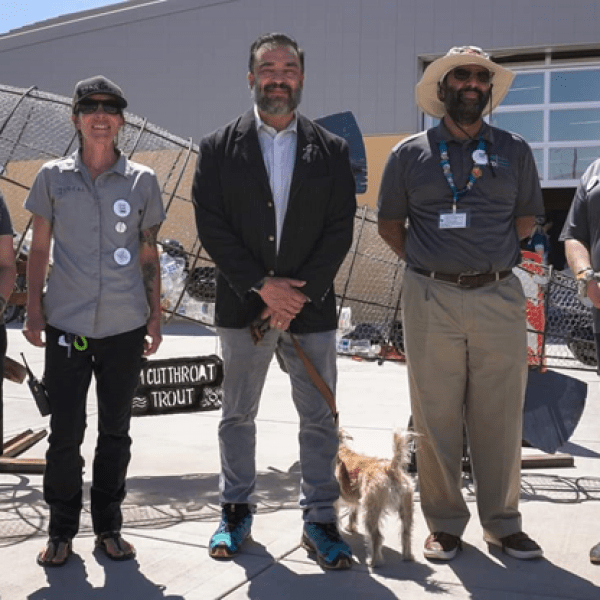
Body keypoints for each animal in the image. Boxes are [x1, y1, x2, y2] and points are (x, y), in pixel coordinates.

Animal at [336, 428, 414, 564]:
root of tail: (390, 468)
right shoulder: (355, 500)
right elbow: (352, 512)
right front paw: (350, 527)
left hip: (371, 509)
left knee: (376, 536)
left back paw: (373, 561)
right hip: (406, 508)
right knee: (406, 533)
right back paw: (407, 556)